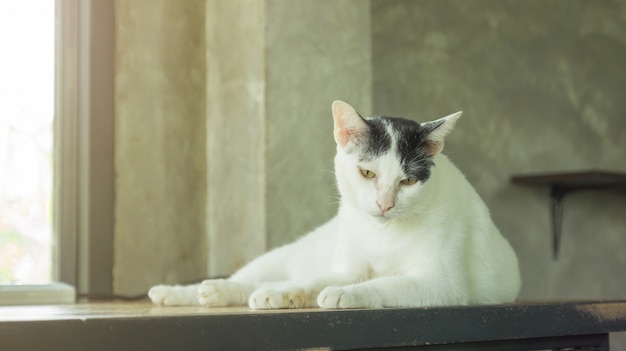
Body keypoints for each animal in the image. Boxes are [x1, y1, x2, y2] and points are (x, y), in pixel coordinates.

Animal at [149, 100, 520, 310]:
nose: (385, 204)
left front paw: (344, 296)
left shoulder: (440, 284)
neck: (381, 232)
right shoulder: (348, 269)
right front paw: (296, 293)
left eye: (409, 181)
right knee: (262, 278)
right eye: (367, 173)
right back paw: (189, 292)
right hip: (277, 258)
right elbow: (316, 282)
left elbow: (384, 284)